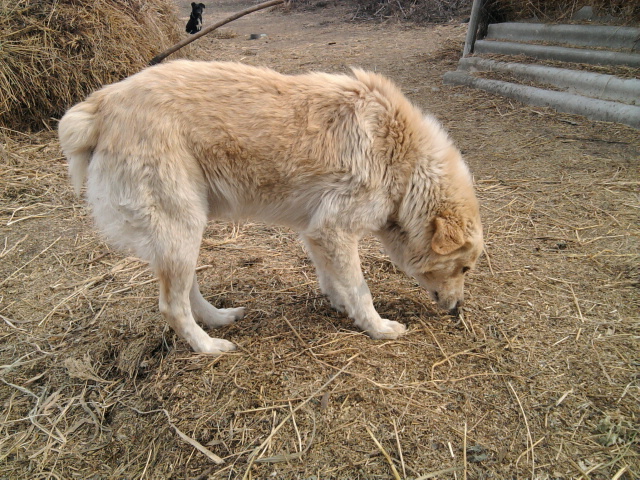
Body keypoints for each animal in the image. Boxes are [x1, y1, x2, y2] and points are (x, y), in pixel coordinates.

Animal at [58, 61, 480, 352]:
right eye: (464, 268)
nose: (458, 309)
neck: (402, 158)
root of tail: (101, 104)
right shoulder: (335, 230)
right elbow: (361, 290)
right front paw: (377, 328)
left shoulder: (317, 232)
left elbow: (334, 279)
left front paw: (339, 305)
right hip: (181, 227)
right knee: (171, 307)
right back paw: (209, 348)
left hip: (182, 233)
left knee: (187, 291)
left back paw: (219, 319)